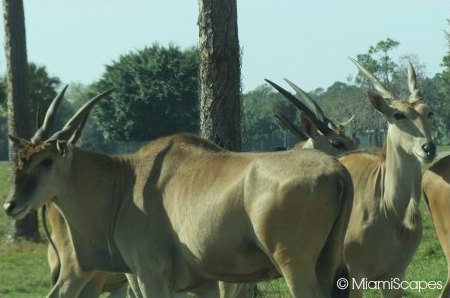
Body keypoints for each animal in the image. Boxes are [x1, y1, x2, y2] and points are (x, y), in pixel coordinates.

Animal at [5, 88, 354, 296]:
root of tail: (337, 171)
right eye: (21, 159)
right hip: (327, 266)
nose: (10, 204)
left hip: (295, 266)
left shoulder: (150, 276)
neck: (125, 183)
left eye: (46, 161)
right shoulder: (204, 283)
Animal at [342, 58, 436, 298]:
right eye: (398, 115)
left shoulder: (395, 276)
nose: (428, 148)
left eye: (428, 113)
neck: (391, 211)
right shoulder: (355, 274)